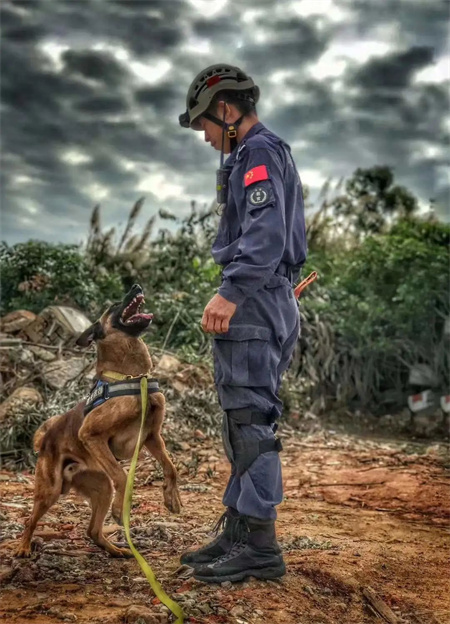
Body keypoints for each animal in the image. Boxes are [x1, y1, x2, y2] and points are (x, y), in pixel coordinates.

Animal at [16, 283, 182, 558]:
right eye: (114, 305)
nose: (136, 285)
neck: (134, 377)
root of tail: (45, 439)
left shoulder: (152, 437)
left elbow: (171, 468)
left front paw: (172, 497)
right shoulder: (91, 435)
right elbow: (123, 477)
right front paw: (120, 509)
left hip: (102, 485)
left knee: (92, 531)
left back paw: (116, 550)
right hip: (50, 490)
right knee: (30, 520)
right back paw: (23, 546)